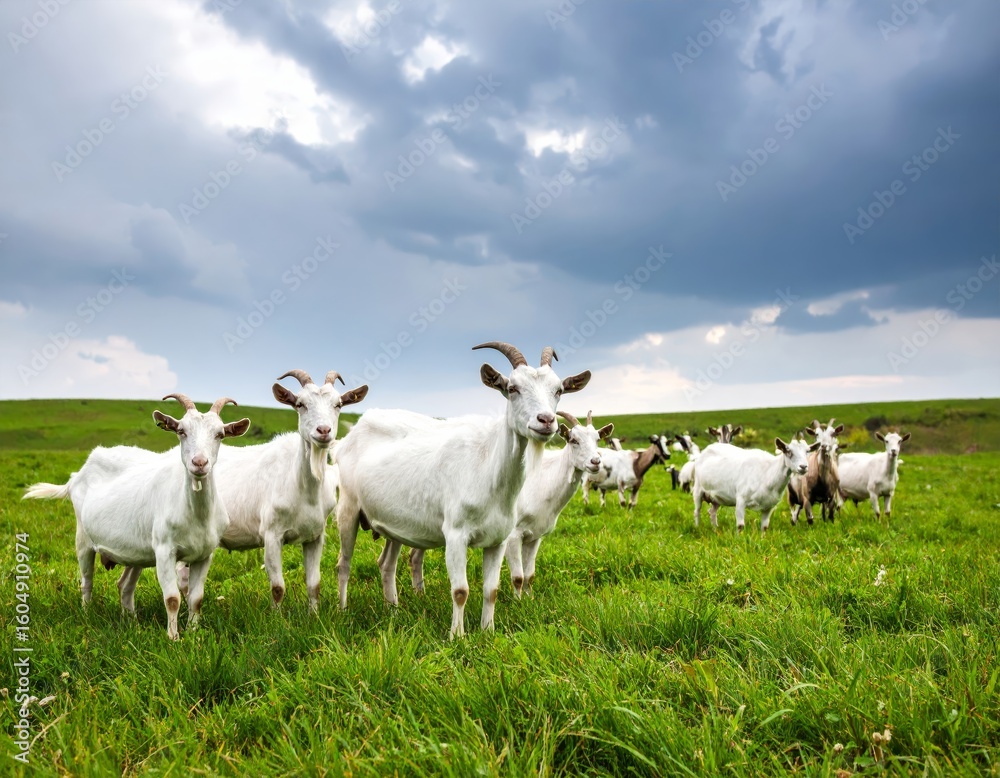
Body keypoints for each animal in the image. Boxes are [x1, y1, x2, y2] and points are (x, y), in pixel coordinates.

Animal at [23, 395, 250, 639]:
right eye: (181, 431)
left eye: (220, 434)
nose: (199, 463)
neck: (196, 514)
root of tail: (76, 476)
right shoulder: (164, 550)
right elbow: (172, 599)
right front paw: (173, 638)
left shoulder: (205, 554)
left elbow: (196, 599)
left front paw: (194, 633)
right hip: (83, 538)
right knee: (86, 581)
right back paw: (86, 615)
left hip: (136, 551)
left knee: (124, 585)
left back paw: (132, 623)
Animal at [211, 369, 367, 612]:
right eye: (300, 404)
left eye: (339, 404)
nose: (324, 431)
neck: (303, 489)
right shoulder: (271, 535)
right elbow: (278, 588)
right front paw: (277, 619)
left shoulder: (315, 536)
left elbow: (314, 584)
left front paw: (314, 615)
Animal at [334, 342, 591, 638]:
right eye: (512, 388)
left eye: (558, 390)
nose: (546, 420)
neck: (486, 466)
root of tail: (349, 436)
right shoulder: (456, 535)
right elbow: (460, 591)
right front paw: (457, 636)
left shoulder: (499, 540)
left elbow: (492, 590)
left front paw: (488, 631)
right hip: (348, 508)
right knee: (344, 563)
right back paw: (343, 611)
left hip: (393, 524)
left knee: (386, 564)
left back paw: (393, 611)